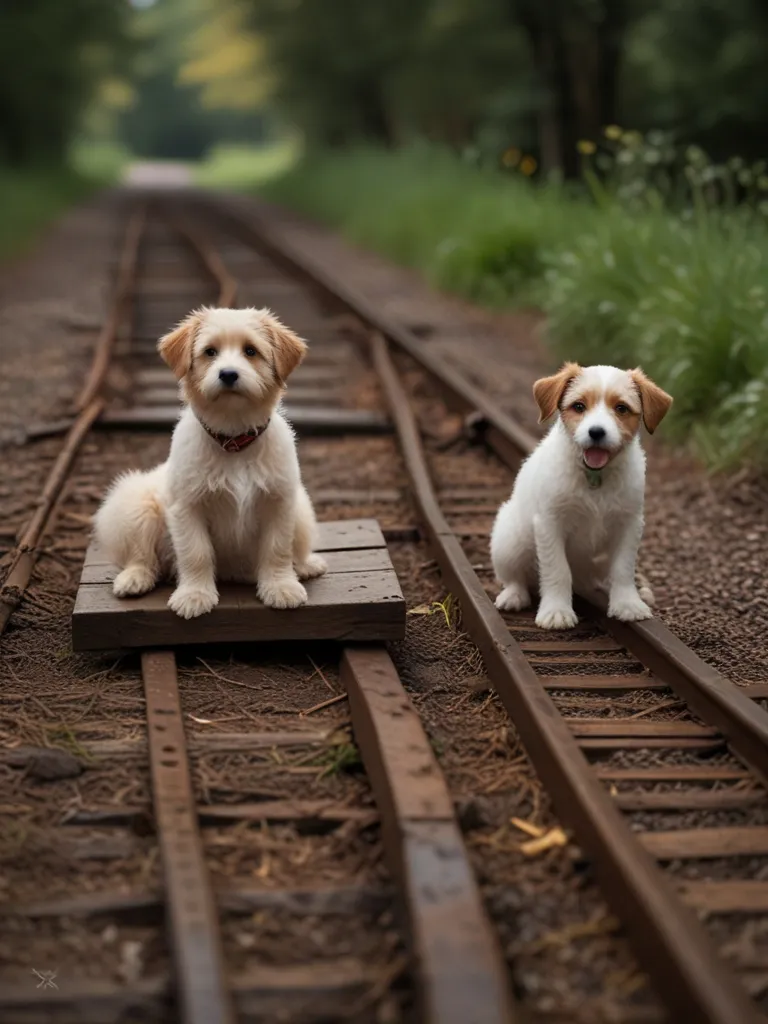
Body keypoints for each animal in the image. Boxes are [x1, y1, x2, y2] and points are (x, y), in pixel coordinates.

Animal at [94, 303, 327, 618]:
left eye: (251, 351)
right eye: (210, 352)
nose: (228, 374)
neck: (233, 439)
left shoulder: (279, 501)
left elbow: (277, 548)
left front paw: (280, 587)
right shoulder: (187, 507)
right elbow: (196, 553)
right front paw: (195, 595)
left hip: (302, 509)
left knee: (296, 548)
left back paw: (305, 565)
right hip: (135, 502)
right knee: (141, 555)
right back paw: (134, 578)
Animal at [493, 364, 671, 626]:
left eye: (621, 408)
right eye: (578, 406)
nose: (596, 432)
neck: (594, 477)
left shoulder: (629, 524)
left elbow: (623, 568)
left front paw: (627, 604)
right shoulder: (550, 523)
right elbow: (557, 570)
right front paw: (557, 610)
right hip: (510, 540)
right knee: (515, 577)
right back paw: (514, 596)